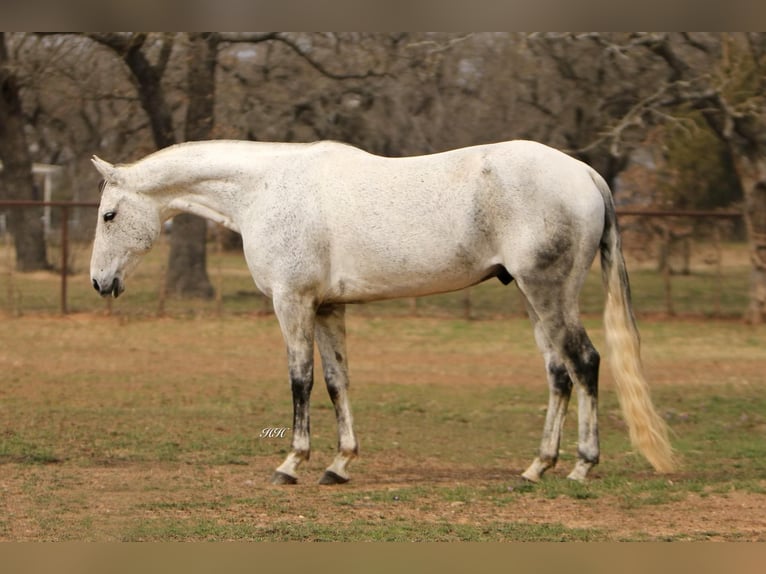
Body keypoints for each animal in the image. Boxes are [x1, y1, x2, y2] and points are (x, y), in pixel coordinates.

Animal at [91, 140, 680, 486]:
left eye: (109, 214)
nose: (100, 282)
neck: (265, 190)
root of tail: (585, 173)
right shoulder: (328, 308)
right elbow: (337, 382)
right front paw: (339, 464)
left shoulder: (292, 302)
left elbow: (300, 380)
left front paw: (292, 464)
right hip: (534, 299)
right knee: (558, 373)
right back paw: (537, 467)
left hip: (549, 293)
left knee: (585, 362)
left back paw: (581, 466)